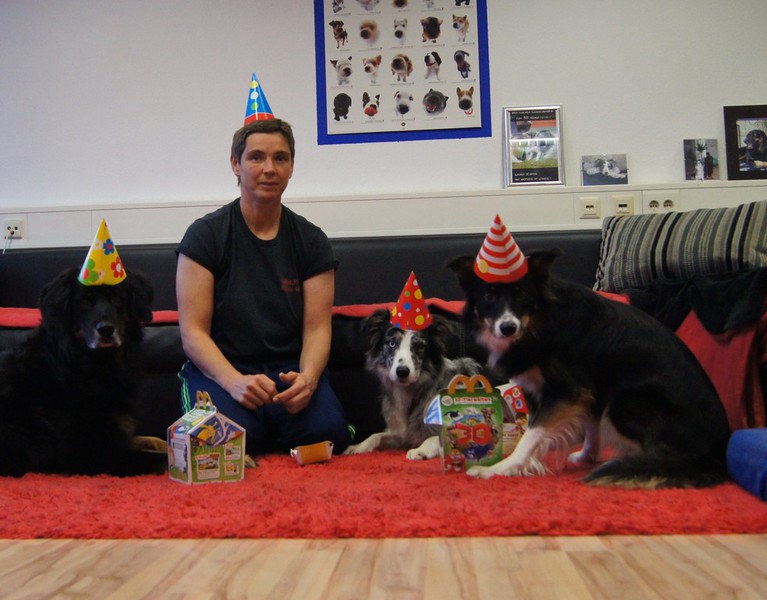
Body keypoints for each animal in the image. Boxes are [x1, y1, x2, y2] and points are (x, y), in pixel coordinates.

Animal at [0, 268, 169, 476]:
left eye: (117, 298)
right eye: (84, 302)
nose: (106, 330)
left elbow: (150, 439)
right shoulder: (88, 453)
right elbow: (162, 459)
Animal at [344, 309, 481, 459]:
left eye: (419, 346)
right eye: (392, 344)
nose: (402, 371)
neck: (409, 391)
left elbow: (433, 438)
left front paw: (420, 450)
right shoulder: (400, 436)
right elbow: (376, 435)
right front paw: (358, 446)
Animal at [448, 250, 731, 489]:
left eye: (522, 293)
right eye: (488, 295)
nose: (508, 328)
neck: (539, 322)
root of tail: (719, 450)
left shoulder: (567, 389)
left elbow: (533, 433)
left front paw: (501, 468)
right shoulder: (584, 389)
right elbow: (589, 425)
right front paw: (587, 455)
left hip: (626, 403)